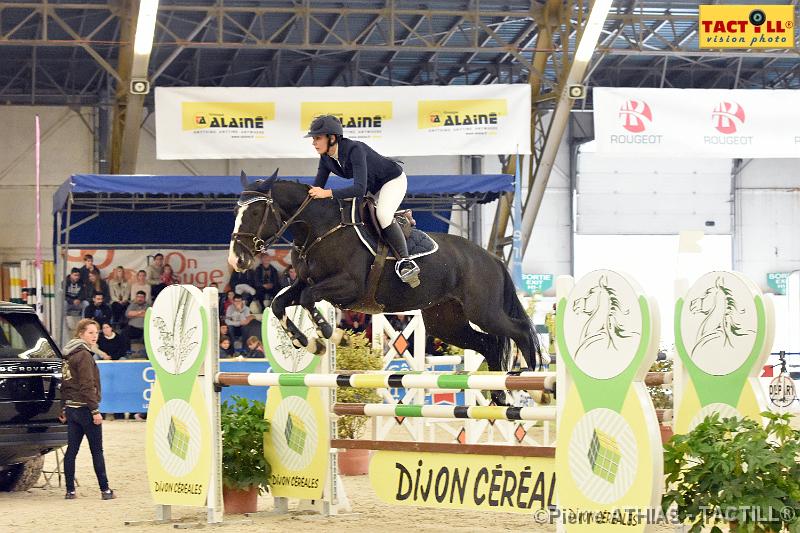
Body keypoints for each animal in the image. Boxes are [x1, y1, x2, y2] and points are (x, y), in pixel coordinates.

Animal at [231, 168, 544, 380]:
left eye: (256, 213)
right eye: (237, 212)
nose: (237, 260)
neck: (319, 229)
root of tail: (493, 259)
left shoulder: (347, 287)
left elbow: (309, 299)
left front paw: (334, 336)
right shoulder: (304, 282)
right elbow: (279, 303)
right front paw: (306, 343)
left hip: (484, 311)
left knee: (520, 332)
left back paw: (528, 383)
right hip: (446, 321)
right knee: (489, 345)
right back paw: (499, 396)